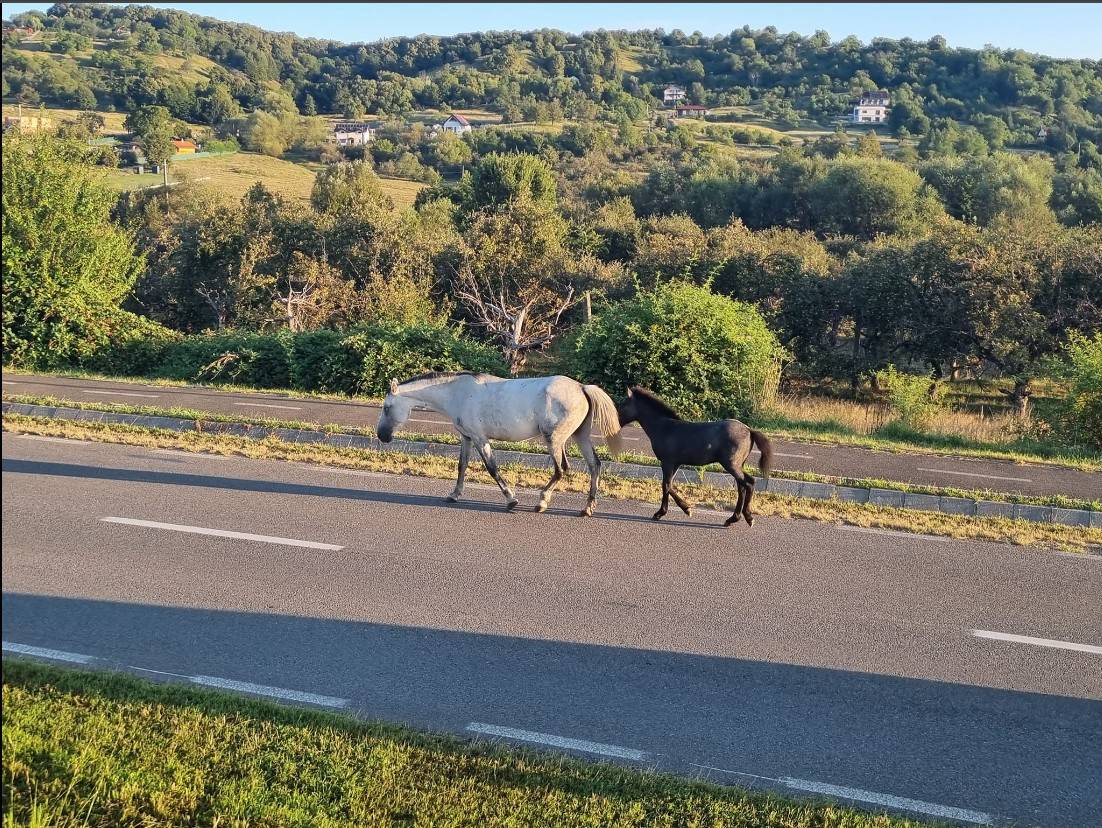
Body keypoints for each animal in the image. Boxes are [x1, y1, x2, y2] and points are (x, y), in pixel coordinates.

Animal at [376, 372, 621, 515]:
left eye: (387, 407)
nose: (382, 436)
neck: (458, 393)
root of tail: (582, 387)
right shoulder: (466, 437)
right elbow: (461, 467)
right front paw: (454, 495)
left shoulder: (480, 438)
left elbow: (492, 469)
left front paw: (511, 499)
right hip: (580, 436)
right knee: (594, 465)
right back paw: (587, 508)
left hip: (554, 439)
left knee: (561, 470)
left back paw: (542, 502)